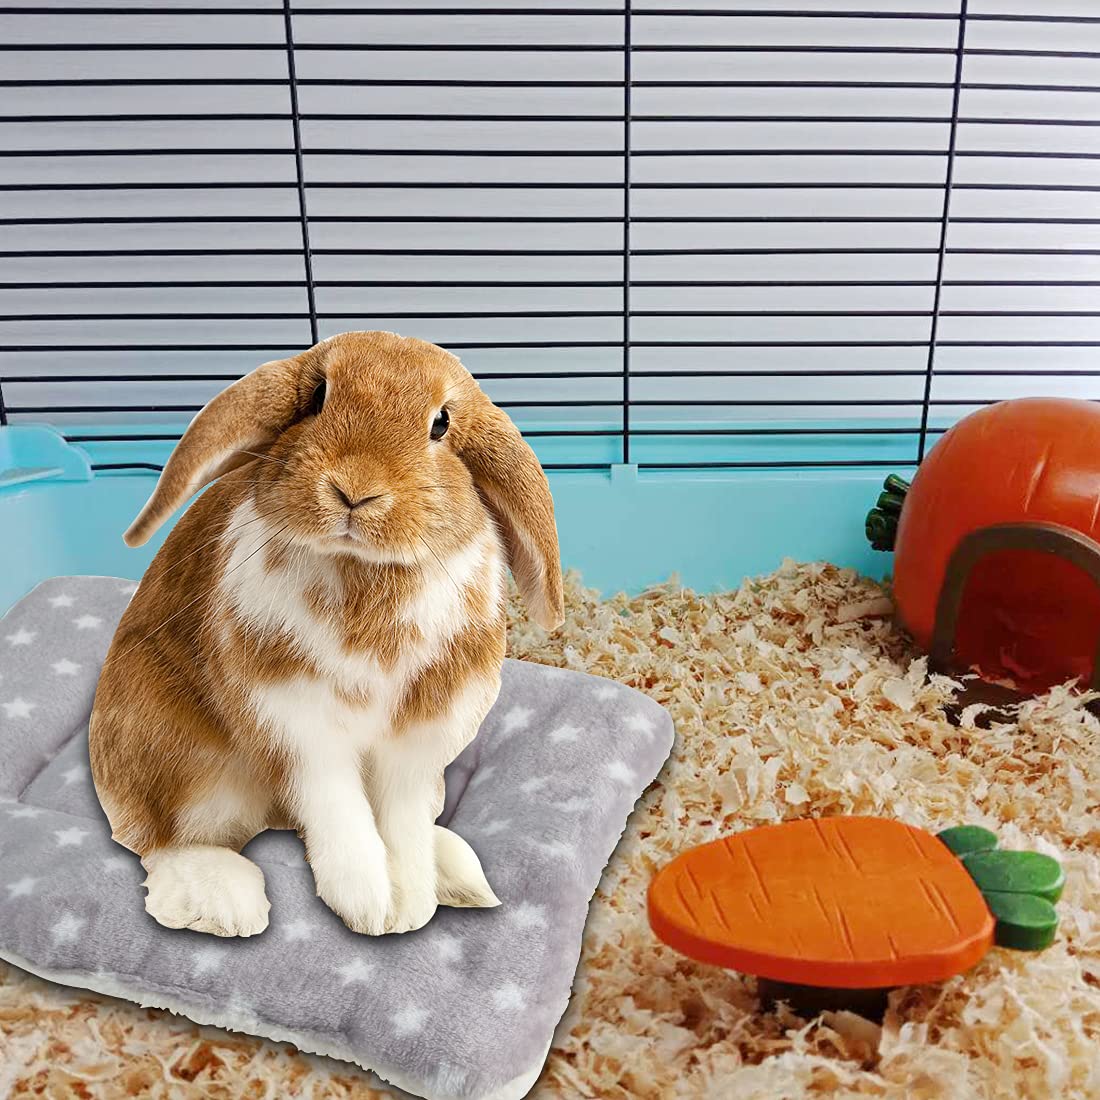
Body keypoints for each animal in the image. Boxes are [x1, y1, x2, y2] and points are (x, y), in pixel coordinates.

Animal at [88, 331, 563, 938]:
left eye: (441, 424)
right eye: (317, 397)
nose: (355, 490)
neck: (363, 569)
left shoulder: (419, 743)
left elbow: (401, 825)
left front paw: (409, 905)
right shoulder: (300, 727)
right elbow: (339, 811)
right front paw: (370, 905)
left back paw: (455, 874)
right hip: (171, 752)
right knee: (161, 842)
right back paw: (222, 901)